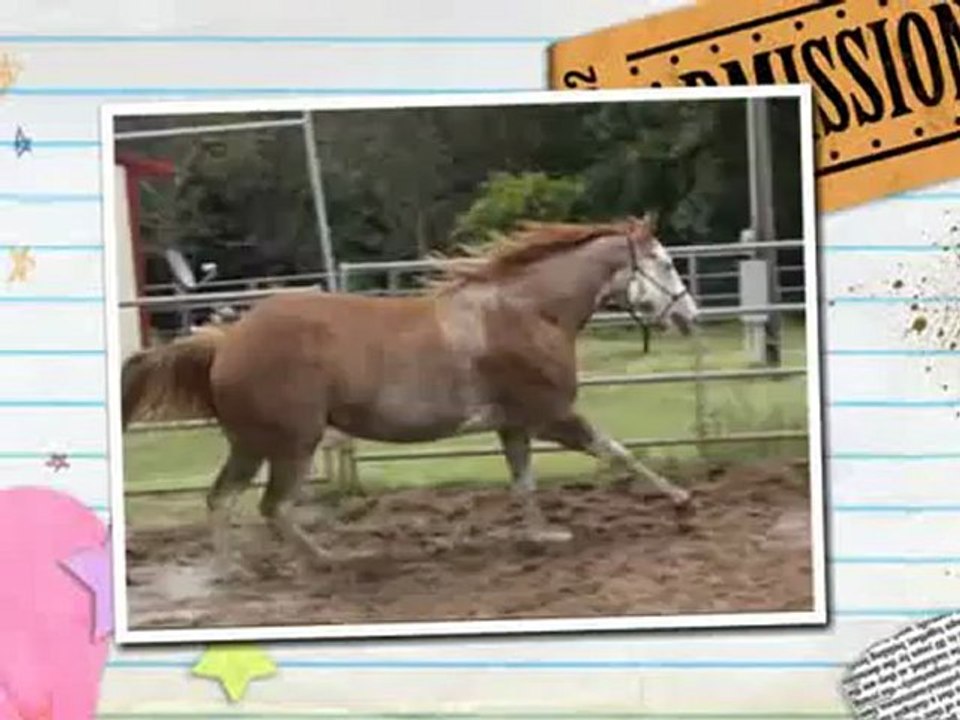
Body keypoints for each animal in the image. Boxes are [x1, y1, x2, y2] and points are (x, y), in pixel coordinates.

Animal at [121, 213, 700, 577]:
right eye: (667, 262)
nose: (690, 316)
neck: (527, 312)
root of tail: (225, 341)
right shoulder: (551, 414)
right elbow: (618, 451)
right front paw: (683, 504)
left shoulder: (513, 423)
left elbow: (524, 483)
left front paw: (542, 537)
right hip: (291, 442)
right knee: (271, 506)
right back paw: (333, 562)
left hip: (252, 443)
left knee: (223, 499)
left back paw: (235, 570)